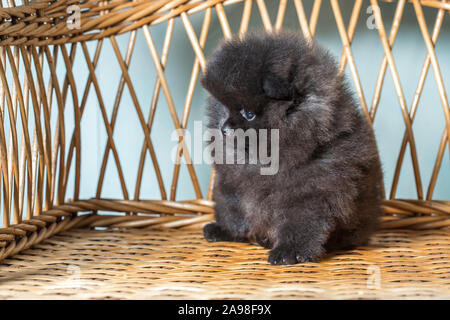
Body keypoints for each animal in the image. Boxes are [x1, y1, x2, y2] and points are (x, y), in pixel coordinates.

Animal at [200, 31, 384, 264]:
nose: (224, 128)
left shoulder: (310, 194)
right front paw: (228, 231)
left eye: (248, 114)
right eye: (224, 108)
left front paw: (289, 252)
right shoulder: (232, 185)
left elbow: (299, 225)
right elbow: (234, 211)